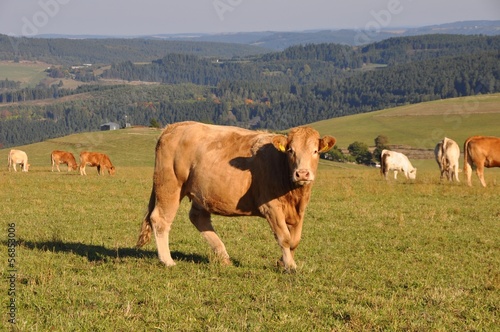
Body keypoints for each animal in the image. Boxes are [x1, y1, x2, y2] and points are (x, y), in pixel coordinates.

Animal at [136, 120, 336, 272]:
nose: (302, 174)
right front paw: (290, 266)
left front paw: (283, 261)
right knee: (160, 219)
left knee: (198, 217)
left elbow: (294, 240)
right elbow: (285, 238)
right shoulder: (271, 207)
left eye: (315, 151)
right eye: (291, 150)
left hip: (200, 190)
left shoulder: (299, 210)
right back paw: (167, 260)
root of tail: (174, 127)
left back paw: (223, 256)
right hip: (170, 184)